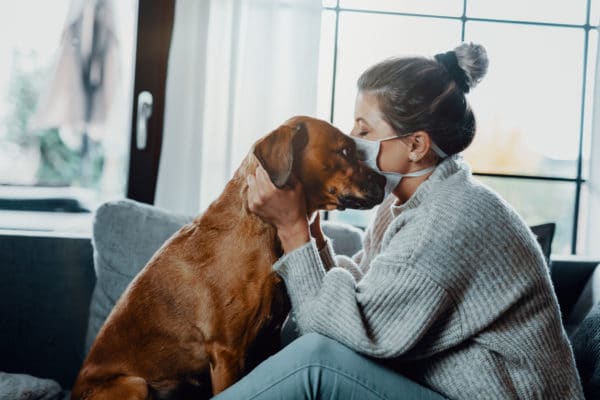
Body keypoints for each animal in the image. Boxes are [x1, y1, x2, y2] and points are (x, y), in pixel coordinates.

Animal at [71, 115, 384, 400]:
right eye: (345, 151)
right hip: (134, 384)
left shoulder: (267, 341)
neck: (262, 229)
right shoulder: (227, 352)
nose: (384, 179)